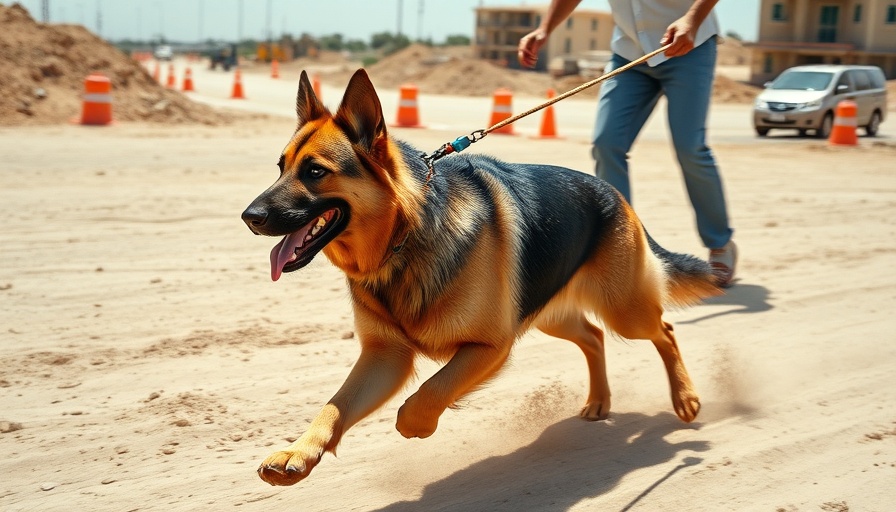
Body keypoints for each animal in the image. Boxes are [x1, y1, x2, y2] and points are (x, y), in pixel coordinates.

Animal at [242, 70, 716, 486]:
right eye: (280, 167)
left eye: (315, 171)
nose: (249, 217)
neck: (405, 237)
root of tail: (615, 193)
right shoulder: (385, 357)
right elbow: (333, 407)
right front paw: (298, 453)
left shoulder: (490, 346)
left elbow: (426, 395)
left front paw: (418, 426)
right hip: (551, 314)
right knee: (595, 337)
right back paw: (600, 400)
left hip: (624, 311)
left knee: (665, 331)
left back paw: (686, 398)